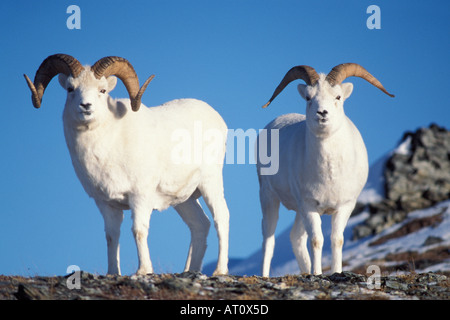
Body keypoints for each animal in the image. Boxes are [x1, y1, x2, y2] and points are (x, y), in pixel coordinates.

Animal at [23, 54, 229, 276]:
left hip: (210, 182)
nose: (85, 106)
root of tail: (217, 118)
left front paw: (143, 270)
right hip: (185, 199)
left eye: (102, 90)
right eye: (71, 89)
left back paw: (220, 271)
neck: (108, 148)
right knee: (200, 225)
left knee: (221, 218)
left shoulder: (140, 196)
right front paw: (113, 272)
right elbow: (111, 236)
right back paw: (189, 271)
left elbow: (138, 230)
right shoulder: (106, 204)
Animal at [256, 62, 394, 276]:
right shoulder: (309, 206)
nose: (322, 113)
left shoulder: (344, 206)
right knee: (268, 242)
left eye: (337, 97)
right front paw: (317, 273)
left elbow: (336, 240)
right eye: (308, 97)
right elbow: (316, 240)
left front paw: (336, 272)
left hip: (296, 210)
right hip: (269, 198)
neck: (329, 173)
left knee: (296, 238)